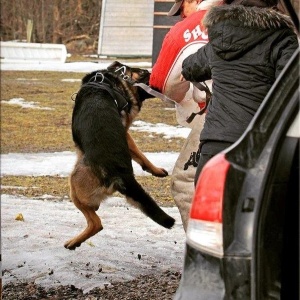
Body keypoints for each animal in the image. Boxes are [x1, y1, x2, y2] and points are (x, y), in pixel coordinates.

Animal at [64, 61, 175, 251]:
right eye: (146, 73)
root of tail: (121, 174)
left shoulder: (127, 132)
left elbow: (138, 151)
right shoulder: (125, 133)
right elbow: (140, 153)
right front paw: (155, 170)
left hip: (74, 183)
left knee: (96, 223)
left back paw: (74, 242)